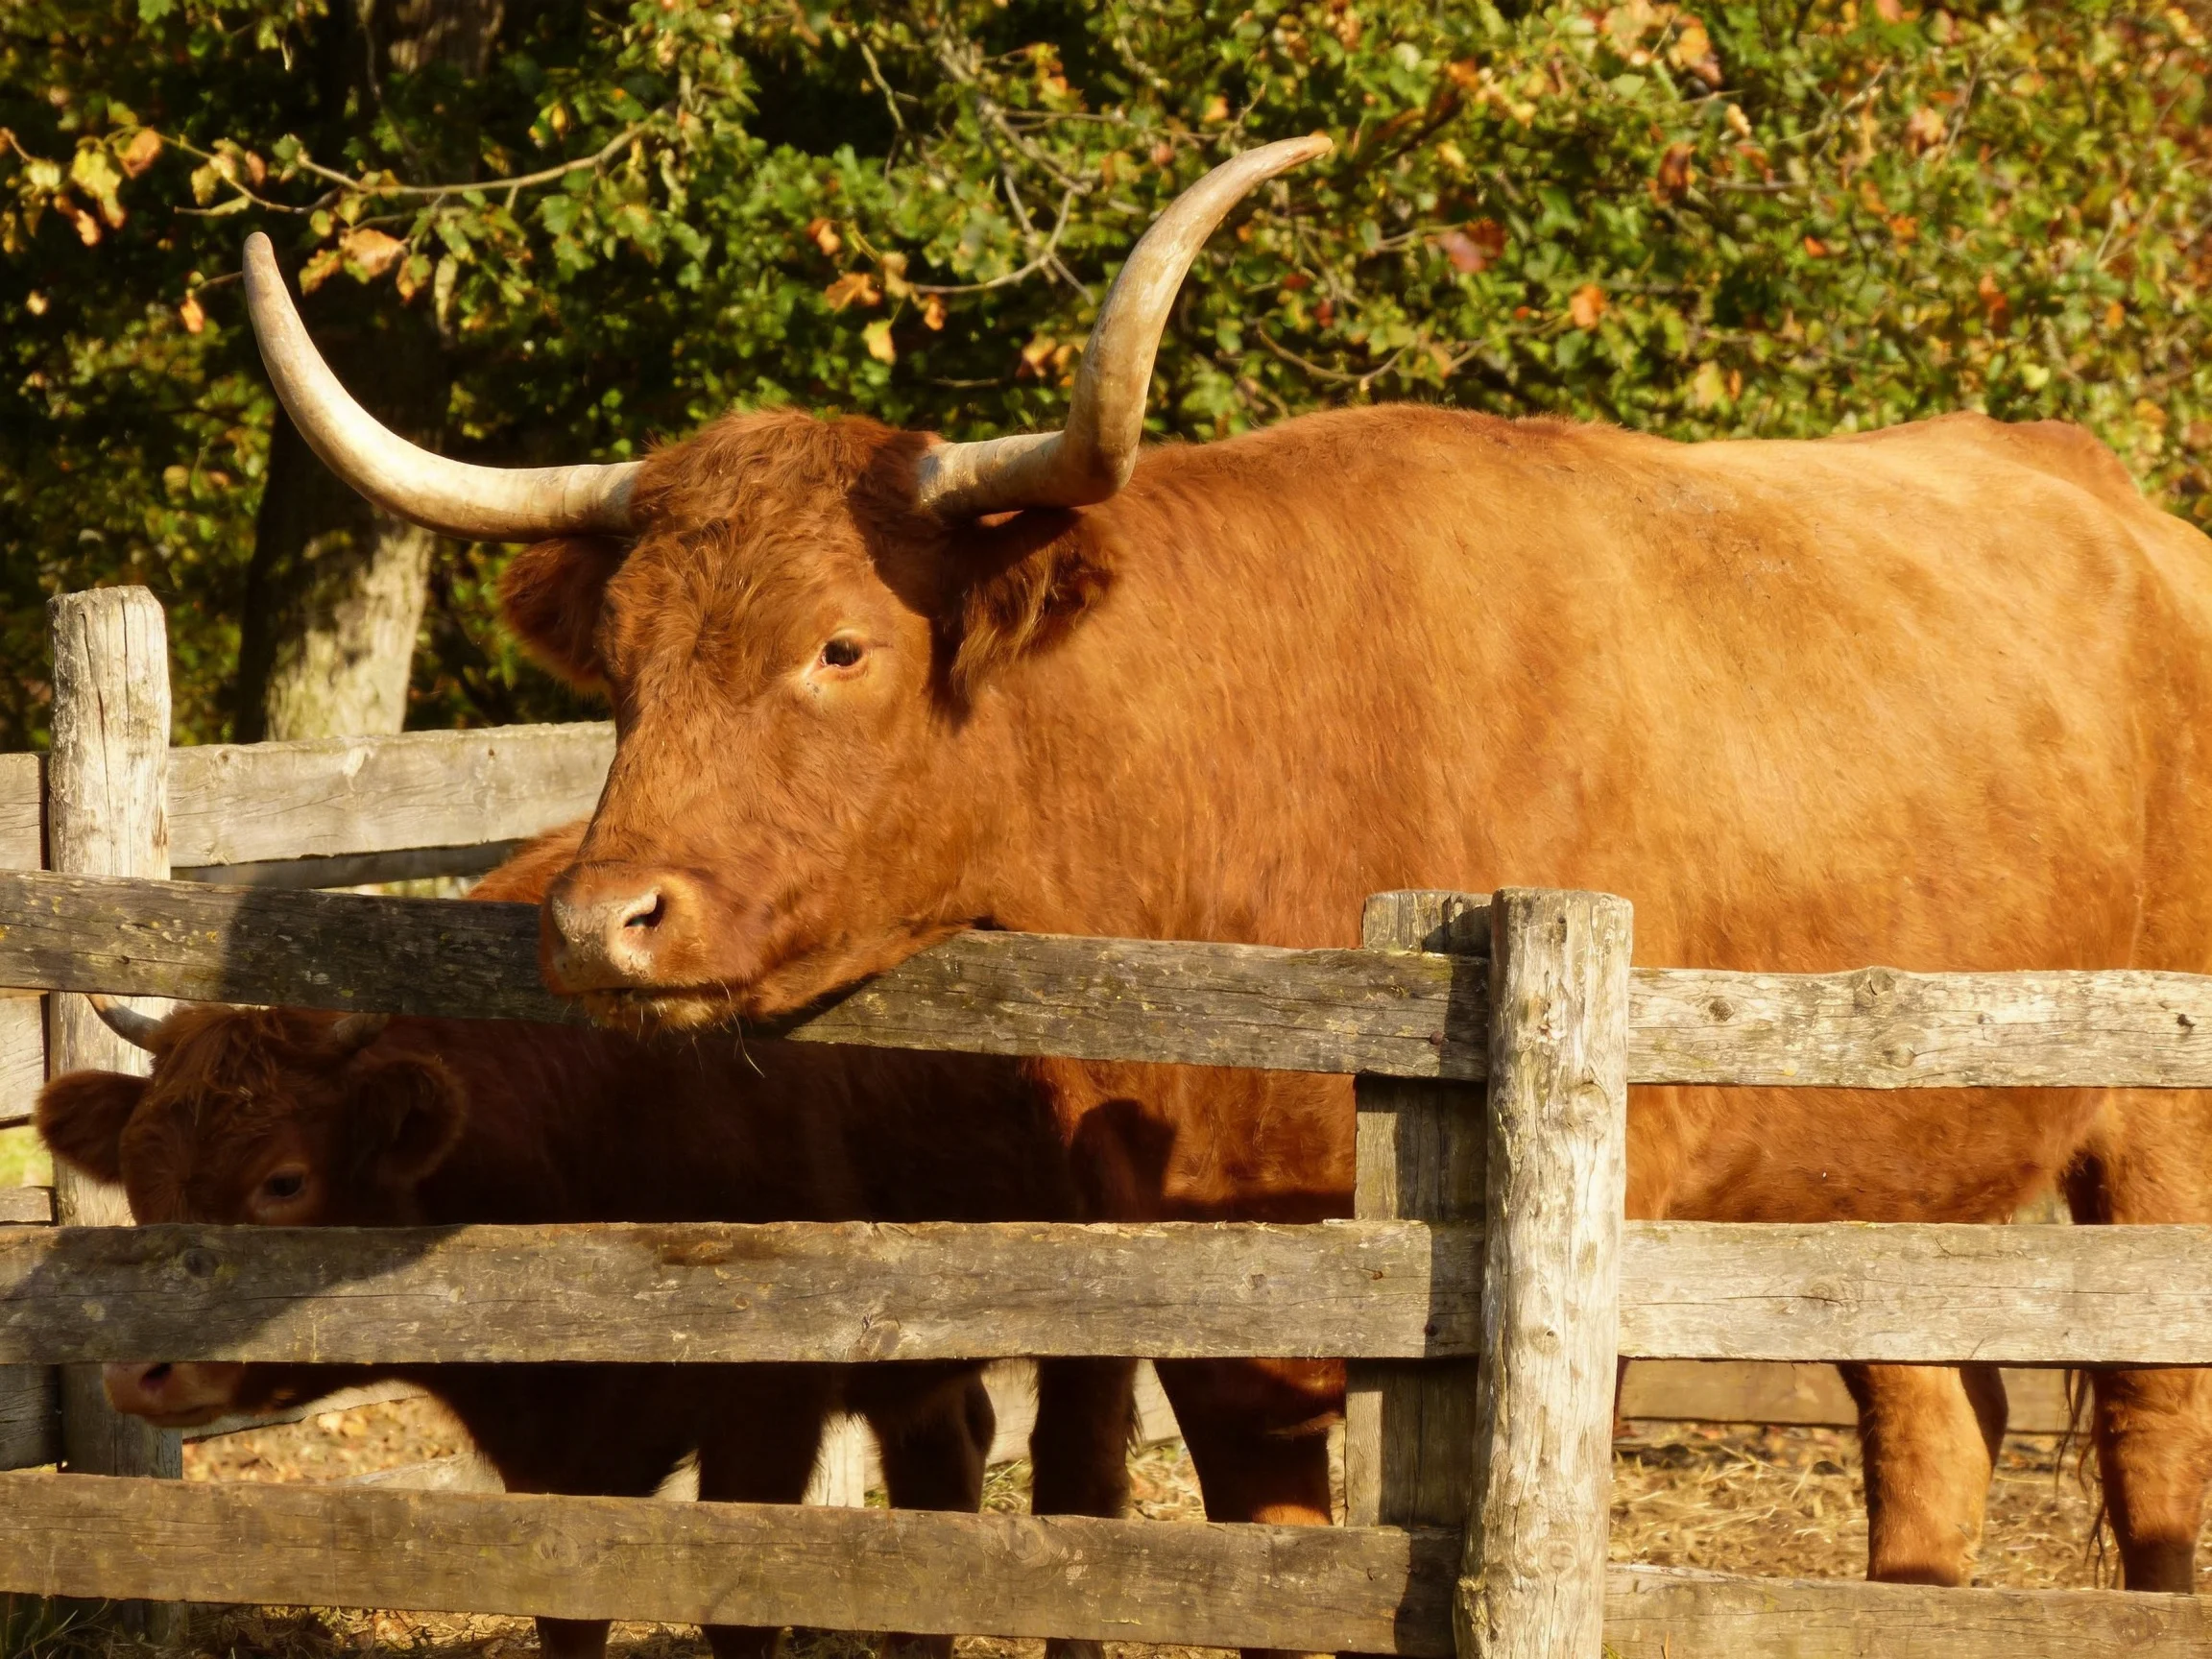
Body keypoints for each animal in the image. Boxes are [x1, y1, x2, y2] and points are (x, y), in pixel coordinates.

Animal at [36, 827, 1136, 1659]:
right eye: (137, 1175)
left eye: (285, 1180)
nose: (138, 1371)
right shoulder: (557, 1455)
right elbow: (568, 1613)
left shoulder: (768, 1408)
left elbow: (741, 1616)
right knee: (946, 1464)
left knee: (1079, 1497)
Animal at [233, 135, 2212, 1595]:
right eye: (623, 664)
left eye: (839, 647)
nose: (601, 920)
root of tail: (2122, 507)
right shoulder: (1224, 1306)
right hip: (1887, 1167)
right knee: (1935, 1414)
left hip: (2151, 1132)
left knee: (2145, 1423)